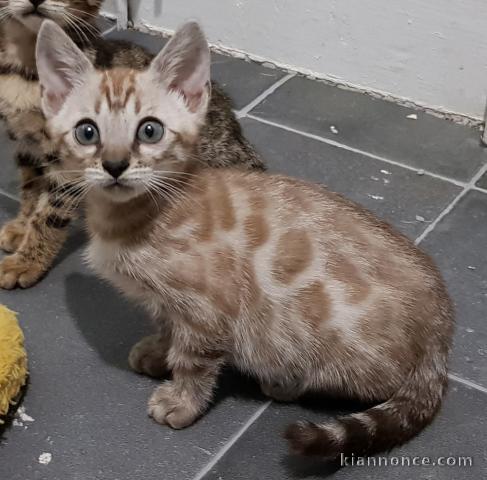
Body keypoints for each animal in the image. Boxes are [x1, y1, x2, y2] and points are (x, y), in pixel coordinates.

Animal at [0, 0, 264, 288]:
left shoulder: (67, 160)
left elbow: (50, 213)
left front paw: (27, 261)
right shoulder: (27, 144)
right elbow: (30, 190)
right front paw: (21, 228)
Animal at [37, 20, 454, 460]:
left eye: (150, 130)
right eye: (87, 132)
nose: (114, 165)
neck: (134, 216)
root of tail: (442, 331)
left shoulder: (207, 308)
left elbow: (194, 360)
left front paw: (181, 400)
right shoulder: (167, 301)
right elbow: (167, 325)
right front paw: (158, 351)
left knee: (374, 384)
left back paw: (286, 380)